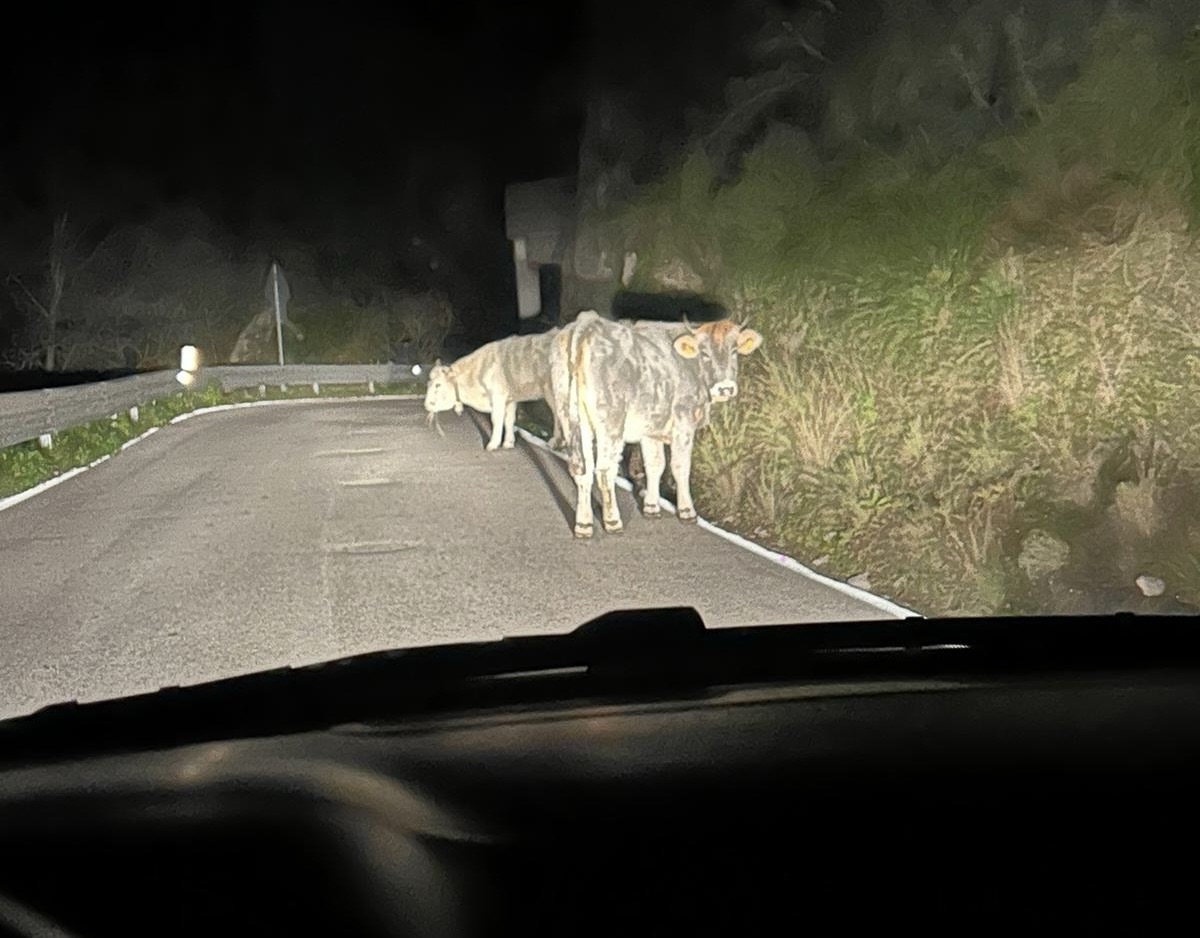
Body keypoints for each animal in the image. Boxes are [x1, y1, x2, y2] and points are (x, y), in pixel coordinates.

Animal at [424, 326, 564, 451]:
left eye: (438, 385)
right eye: (428, 384)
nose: (426, 405)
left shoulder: (498, 395)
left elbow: (497, 419)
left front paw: (493, 444)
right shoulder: (510, 399)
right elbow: (509, 420)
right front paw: (508, 443)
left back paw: (556, 442)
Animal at [556, 311, 763, 539]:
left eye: (734, 351)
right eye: (704, 353)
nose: (725, 388)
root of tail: (589, 324)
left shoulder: (651, 428)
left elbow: (654, 465)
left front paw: (651, 508)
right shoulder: (684, 420)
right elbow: (680, 466)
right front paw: (687, 511)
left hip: (572, 420)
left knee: (581, 470)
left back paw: (583, 525)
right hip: (610, 423)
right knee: (604, 471)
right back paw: (612, 522)